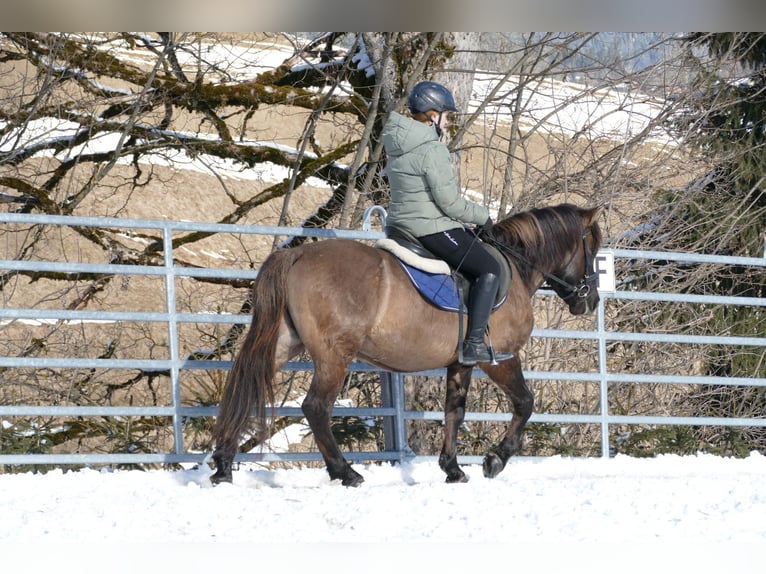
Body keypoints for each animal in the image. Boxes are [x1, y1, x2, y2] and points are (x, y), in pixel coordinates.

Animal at [212, 202, 608, 486]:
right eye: (592, 247)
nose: (589, 301)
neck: (516, 267)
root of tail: (295, 254)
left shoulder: (461, 362)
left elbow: (454, 412)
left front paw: (453, 469)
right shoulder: (500, 358)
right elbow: (525, 403)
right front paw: (495, 460)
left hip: (284, 343)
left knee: (244, 387)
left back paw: (223, 466)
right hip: (334, 355)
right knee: (316, 407)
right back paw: (346, 473)